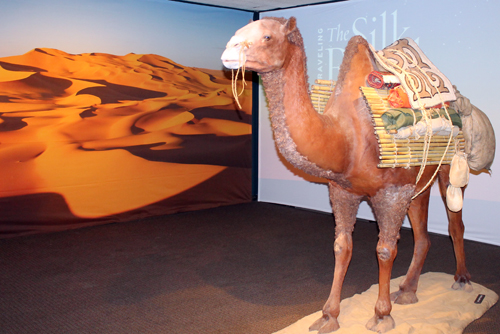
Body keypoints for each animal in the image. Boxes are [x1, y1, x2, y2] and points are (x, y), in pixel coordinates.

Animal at [222, 17, 472, 334]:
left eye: (267, 36)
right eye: (238, 32)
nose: (228, 52)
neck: (345, 138)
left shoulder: (390, 193)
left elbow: (385, 250)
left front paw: (381, 316)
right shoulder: (343, 191)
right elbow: (342, 247)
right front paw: (328, 316)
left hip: (448, 167)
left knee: (455, 223)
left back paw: (461, 280)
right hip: (418, 182)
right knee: (423, 236)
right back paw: (407, 290)